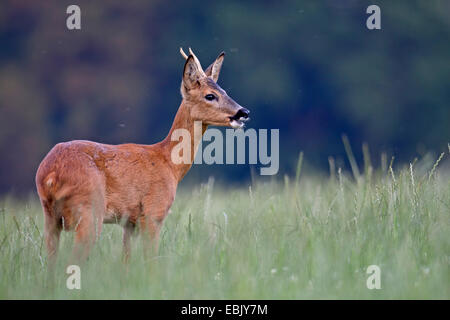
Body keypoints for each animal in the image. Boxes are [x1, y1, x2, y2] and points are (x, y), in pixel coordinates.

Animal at [36, 47, 250, 262]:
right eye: (210, 96)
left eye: (225, 91)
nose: (243, 112)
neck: (169, 163)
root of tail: (51, 175)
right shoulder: (154, 212)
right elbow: (150, 260)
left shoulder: (129, 223)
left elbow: (127, 260)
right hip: (89, 209)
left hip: (50, 217)